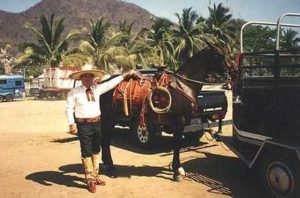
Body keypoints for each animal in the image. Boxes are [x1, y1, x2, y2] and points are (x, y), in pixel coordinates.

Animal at [99, 44, 231, 181]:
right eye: (219, 55)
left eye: (226, 53)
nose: (231, 70)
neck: (183, 85)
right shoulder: (179, 120)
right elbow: (177, 144)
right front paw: (177, 170)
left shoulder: (185, 120)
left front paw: (176, 168)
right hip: (108, 117)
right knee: (105, 140)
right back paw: (109, 166)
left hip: (112, 118)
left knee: (106, 140)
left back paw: (108, 164)